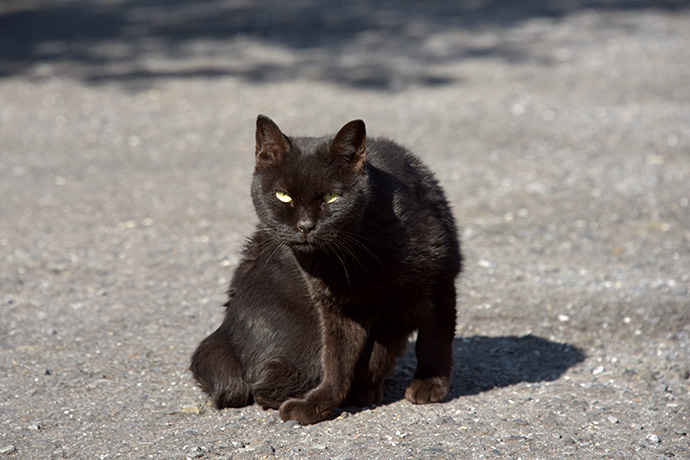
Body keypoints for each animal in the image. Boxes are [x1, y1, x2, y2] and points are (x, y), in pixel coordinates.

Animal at [188, 115, 460, 424]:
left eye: (331, 196)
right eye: (283, 196)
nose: (305, 226)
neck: (351, 258)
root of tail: (225, 333)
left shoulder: (440, 279)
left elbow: (434, 339)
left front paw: (430, 384)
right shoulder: (335, 308)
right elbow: (336, 360)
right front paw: (318, 404)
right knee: (265, 384)